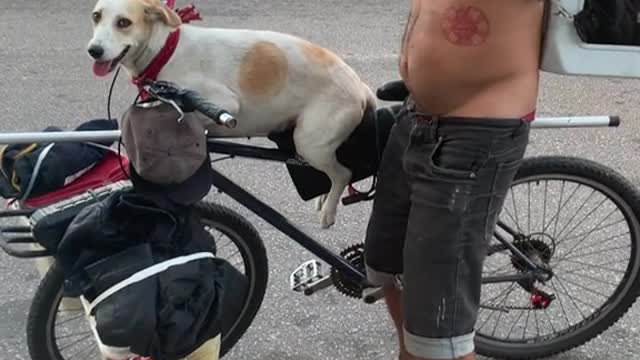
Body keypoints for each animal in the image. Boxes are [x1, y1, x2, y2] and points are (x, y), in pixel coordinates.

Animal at [85, 0, 376, 229]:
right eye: (96, 16)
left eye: (124, 22)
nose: (93, 50)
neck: (165, 50)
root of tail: (361, 87)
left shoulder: (223, 104)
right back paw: (323, 199)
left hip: (309, 143)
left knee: (342, 174)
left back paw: (329, 211)